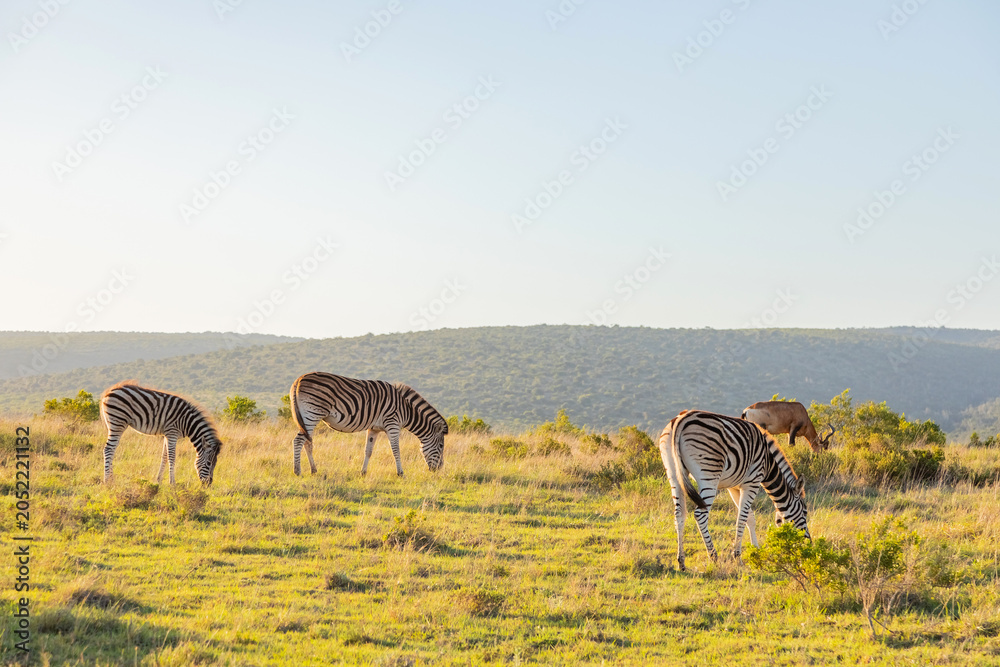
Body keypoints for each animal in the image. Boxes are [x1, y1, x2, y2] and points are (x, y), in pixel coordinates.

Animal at [289, 372, 447, 477]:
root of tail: (298, 379)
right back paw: (297, 471)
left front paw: (363, 472)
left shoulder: (373, 428)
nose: (439, 470)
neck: (406, 409)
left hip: (306, 417)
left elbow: (368, 450)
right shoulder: (393, 424)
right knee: (298, 440)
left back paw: (314, 470)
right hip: (312, 413)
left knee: (307, 442)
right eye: (441, 446)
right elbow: (396, 450)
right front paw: (401, 473)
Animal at [658, 409, 809, 571]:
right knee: (700, 514)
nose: (809, 542)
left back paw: (681, 562)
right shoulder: (752, 483)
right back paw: (713, 556)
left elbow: (750, 517)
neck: (768, 463)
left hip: (674, 473)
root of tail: (681, 420)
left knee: (679, 514)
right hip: (709, 474)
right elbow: (742, 517)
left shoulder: (734, 487)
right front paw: (737, 556)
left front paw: (756, 550)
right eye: (805, 511)